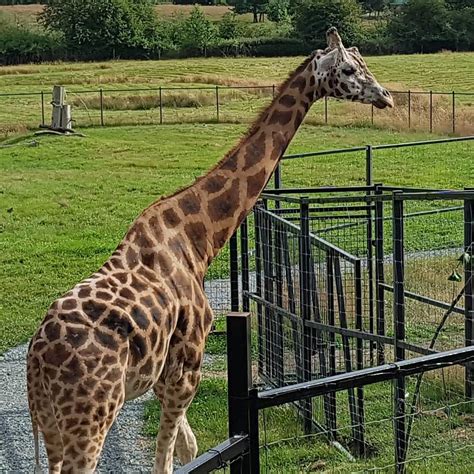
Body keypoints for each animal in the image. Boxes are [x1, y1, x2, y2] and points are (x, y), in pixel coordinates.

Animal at [27, 28, 394, 474]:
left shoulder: (163, 375)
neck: (197, 239)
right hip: (91, 415)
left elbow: (190, 447)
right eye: (349, 70)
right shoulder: (187, 365)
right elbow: (169, 460)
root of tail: (38, 359)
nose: (386, 96)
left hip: (51, 423)